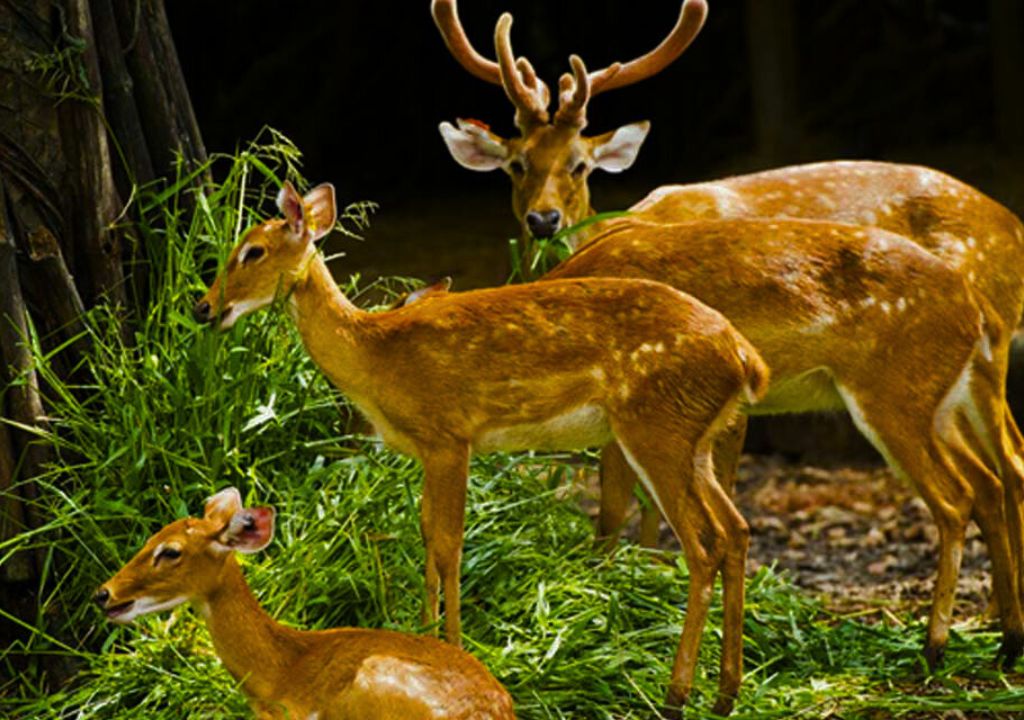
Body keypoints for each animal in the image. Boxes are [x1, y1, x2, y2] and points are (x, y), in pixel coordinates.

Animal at [193, 180, 771, 715]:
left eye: (252, 250)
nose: (203, 307)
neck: (375, 354)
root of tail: (746, 358)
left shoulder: (450, 435)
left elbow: (449, 544)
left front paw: (452, 642)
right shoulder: (430, 449)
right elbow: (427, 534)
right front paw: (425, 634)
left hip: (657, 430)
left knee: (703, 546)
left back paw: (676, 696)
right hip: (694, 439)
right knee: (737, 530)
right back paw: (726, 693)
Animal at [433, 0, 1024, 614]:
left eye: (579, 164)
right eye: (516, 163)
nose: (543, 221)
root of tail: (1012, 225)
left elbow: (641, 501)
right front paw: (641, 578)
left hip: (982, 357)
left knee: (1007, 463)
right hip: (954, 390)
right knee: (993, 474)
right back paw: (1000, 615)